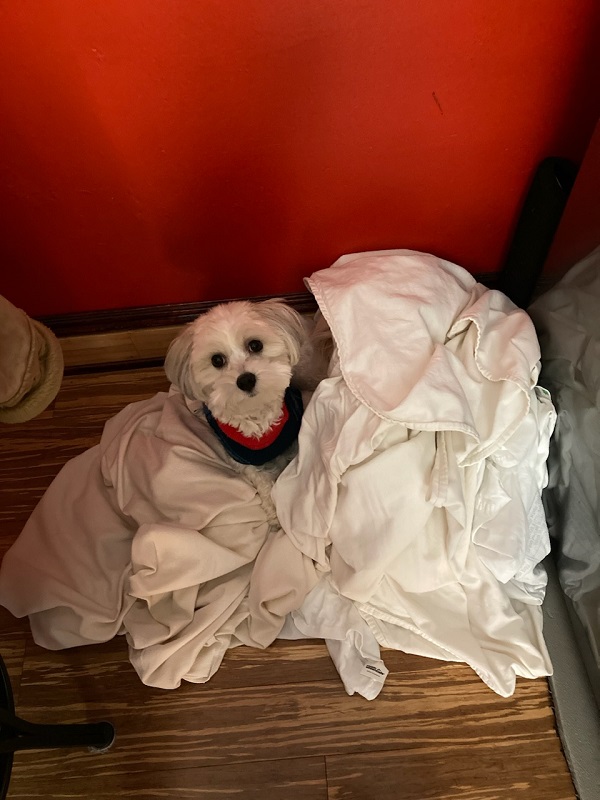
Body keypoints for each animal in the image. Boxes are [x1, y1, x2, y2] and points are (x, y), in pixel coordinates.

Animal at [164, 300, 330, 524]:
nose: (246, 380)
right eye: (217, 360)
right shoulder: (242, 459)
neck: (257, 416)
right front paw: (274, 512)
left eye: (255, 345)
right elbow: (262, 481)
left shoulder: (292, 441)